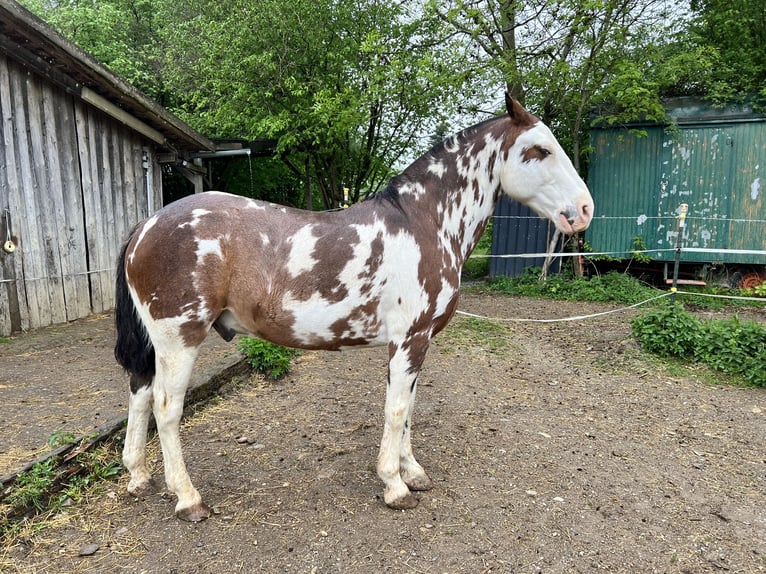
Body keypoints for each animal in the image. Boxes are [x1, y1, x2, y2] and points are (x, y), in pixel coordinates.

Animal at [114, 94, 594, 522]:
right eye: (539, 150)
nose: (584, 210)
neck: (424, 223)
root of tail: (146, 225)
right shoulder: (409, 339)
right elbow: (397, 410)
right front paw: (395, 486)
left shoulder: (414, 343)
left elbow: (409, 407)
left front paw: (412, 472)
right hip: (179, 339)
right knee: (165, 409)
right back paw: (188, 499)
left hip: (158, 344)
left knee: (140, 393)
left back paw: (138, 477)